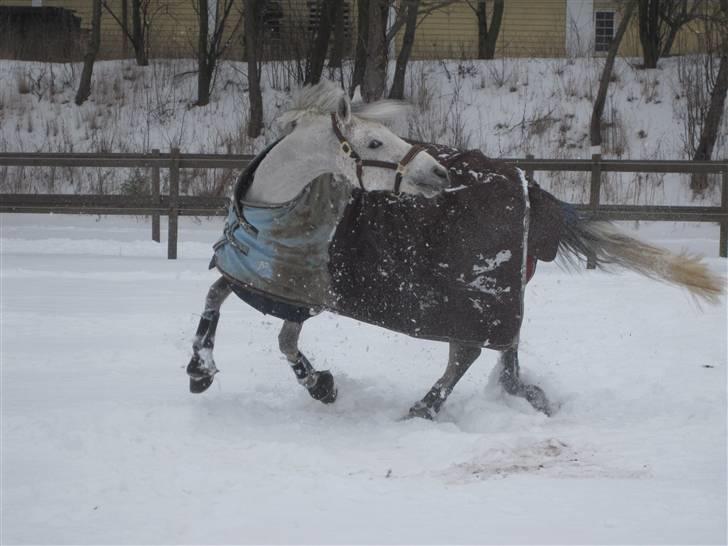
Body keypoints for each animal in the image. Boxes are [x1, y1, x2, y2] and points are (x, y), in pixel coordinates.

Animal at [187, 83, 725, 419]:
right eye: (375, 141)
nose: (439, 173)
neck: (274, 207)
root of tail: (530, 187)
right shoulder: (264, 280)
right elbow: (216, 296)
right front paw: (201, 371)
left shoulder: (303, 295)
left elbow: (282, 341)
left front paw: (321, 385)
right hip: (494, 298)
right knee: (499, 356)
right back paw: (523, 397)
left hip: (475, 301)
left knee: (465, 353)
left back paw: (423, 409)